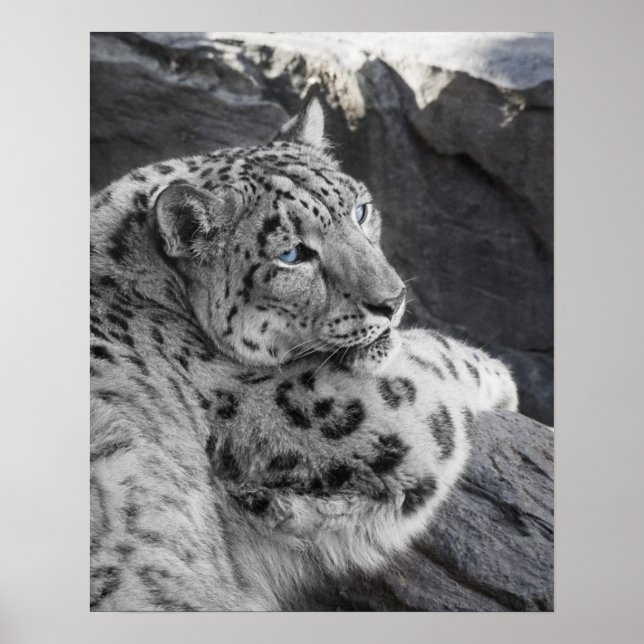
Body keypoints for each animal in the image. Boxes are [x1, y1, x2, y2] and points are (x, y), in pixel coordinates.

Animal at [90, 98, 518, 611]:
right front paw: (499, 374)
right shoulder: (350, 411)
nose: (392, 300)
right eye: (292, 255)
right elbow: (427, 363)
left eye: (360, 210)